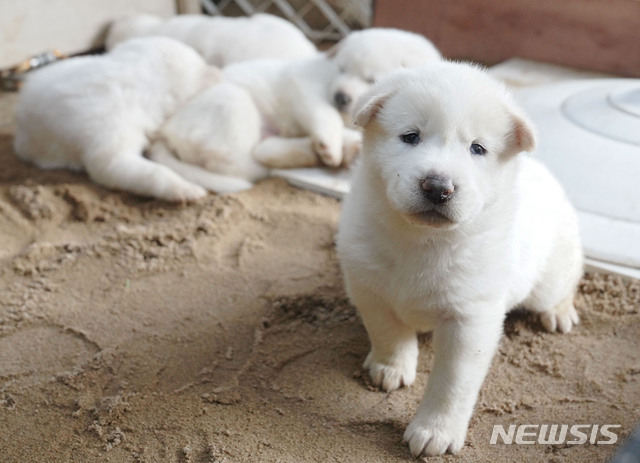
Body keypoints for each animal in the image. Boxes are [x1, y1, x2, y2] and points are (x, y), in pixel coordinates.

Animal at [336, 61, 584, 456]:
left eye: (477, 148)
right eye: (411, 136)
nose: (438, 187)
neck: (423, 242)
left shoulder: (470, 317)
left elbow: (452, 382)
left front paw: (435, 431)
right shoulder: (368, 285)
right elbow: (388, 332)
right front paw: (391, 367)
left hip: (549, 273)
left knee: (565, 282)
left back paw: (559, 312)